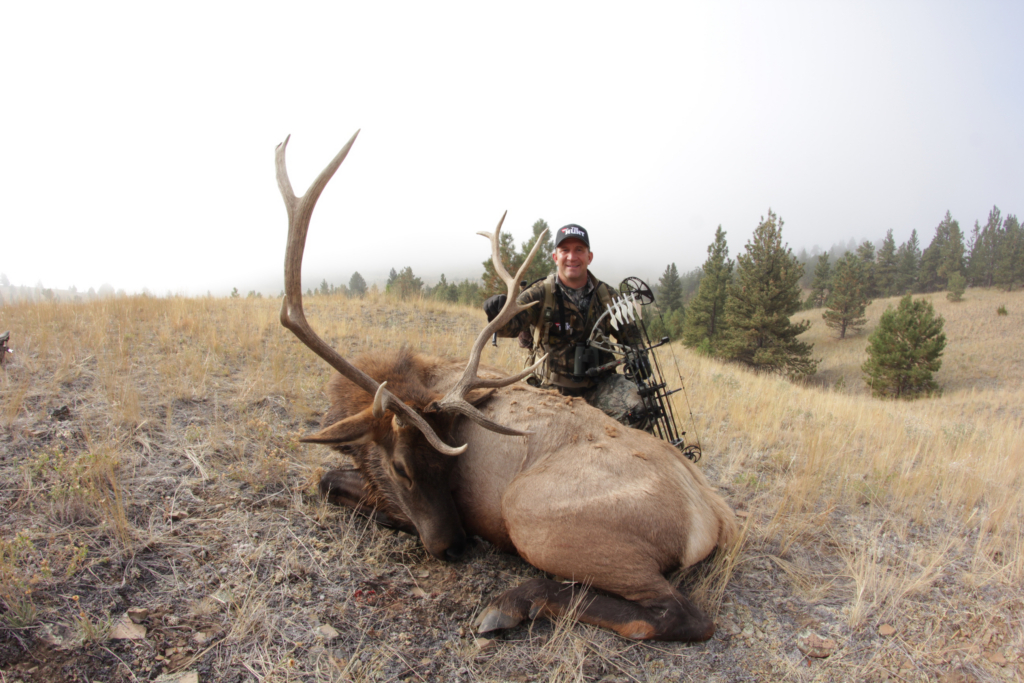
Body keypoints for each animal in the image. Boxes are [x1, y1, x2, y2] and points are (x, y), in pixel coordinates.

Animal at [277, 131, 738, 642]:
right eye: (404, 468)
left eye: (444, 467)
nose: (454, 546)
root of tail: (716, 517)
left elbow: (327, 480)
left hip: (532, 514)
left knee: (680, 614)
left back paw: (512, 602)